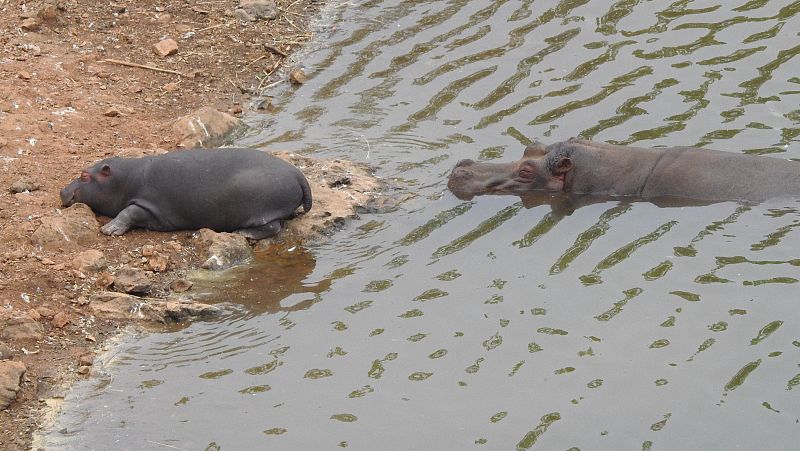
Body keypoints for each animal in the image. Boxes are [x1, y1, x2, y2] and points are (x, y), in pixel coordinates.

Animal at [61, 149, 312, 240]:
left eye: (84, 175)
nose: (62, 190)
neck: (124, 179)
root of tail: (298, 173)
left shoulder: (149, 206)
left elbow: (128, 212)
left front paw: (109, 229)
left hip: (262, 210)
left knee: (273, 227)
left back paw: (242, 233)